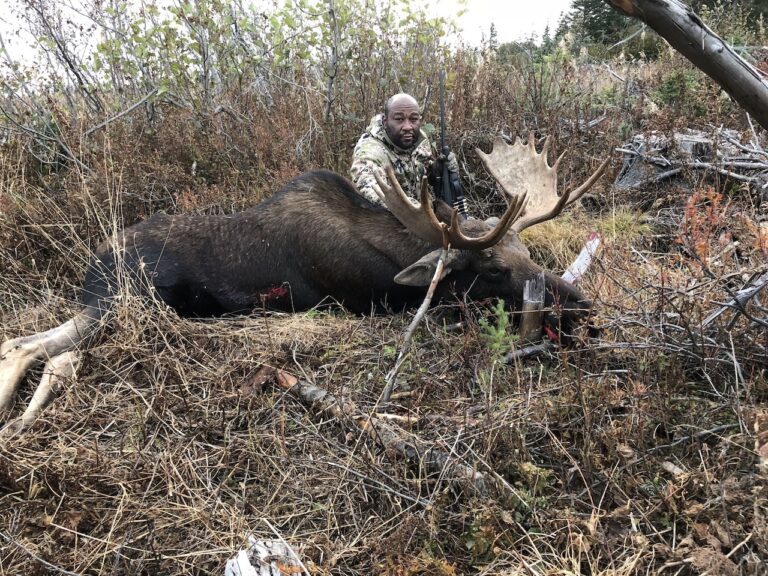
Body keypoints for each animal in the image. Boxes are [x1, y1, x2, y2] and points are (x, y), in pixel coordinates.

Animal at [1, 135, 608, 432]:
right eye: (495, 269)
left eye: (528, 252)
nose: (584, 310)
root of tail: (95, 261)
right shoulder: (366, 301)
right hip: (128, 300)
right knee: (39, 348)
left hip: (108, 305)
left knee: (39, 347)